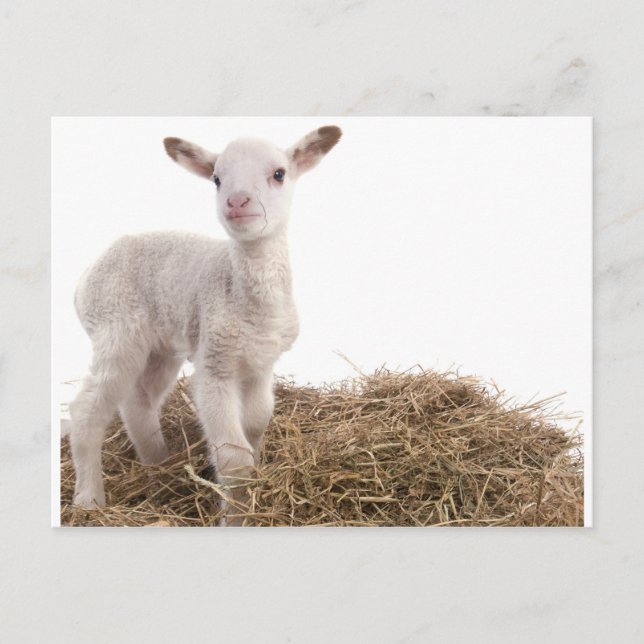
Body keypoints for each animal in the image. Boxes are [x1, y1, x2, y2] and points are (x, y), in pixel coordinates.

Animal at [68, 125, 342, 525]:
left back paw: (160, 472)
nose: (237, 201)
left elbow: (256, 424)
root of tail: (87, 273)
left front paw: (251, 491)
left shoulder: (262, 363)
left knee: (138, 401)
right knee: (85, 410)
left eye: (279, 174)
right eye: (216, 178)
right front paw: (236, 517)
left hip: (160, 345)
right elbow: (234, 457)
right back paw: (89, 500)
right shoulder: (215, 364)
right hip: (115, 328)